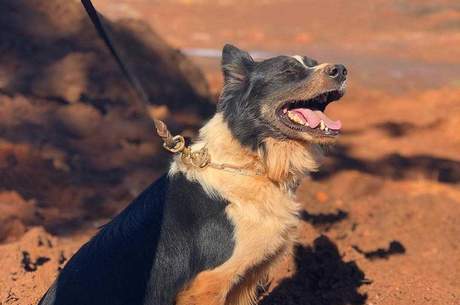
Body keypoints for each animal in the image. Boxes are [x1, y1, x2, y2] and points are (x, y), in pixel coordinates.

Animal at [39, 43, 346, 304]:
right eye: (288, 72)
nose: (342, 70)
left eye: (312, 64)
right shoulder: (209, 281)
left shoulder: (243, 282)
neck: (251, 164)